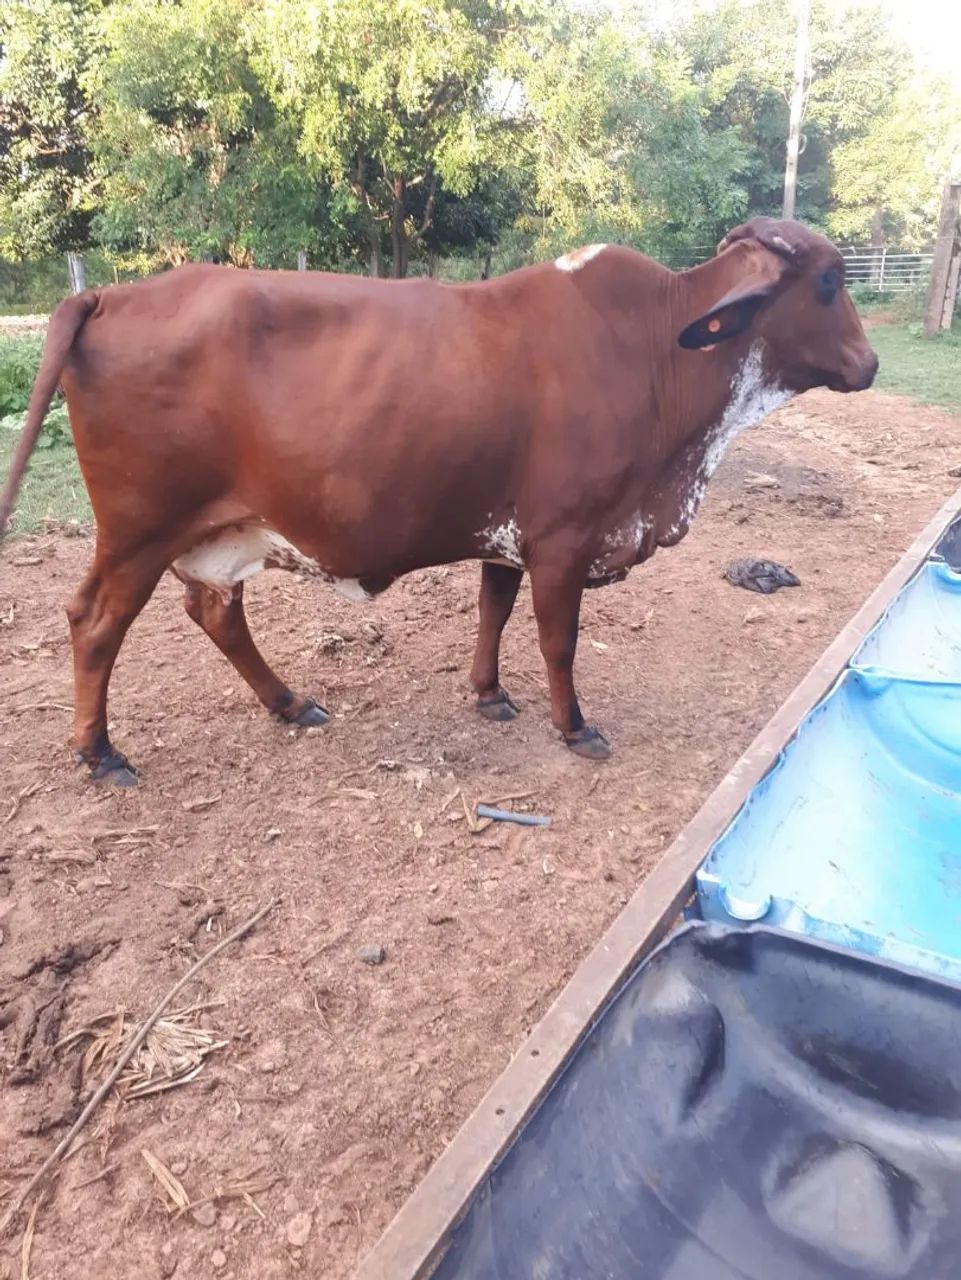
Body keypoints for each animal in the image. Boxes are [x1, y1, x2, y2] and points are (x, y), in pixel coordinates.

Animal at [0, 217, 877, 785]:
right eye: (828, 282)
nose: (867, 364)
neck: (658, 350)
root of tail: (111, 296)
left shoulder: (512, 536)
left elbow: (492, 610)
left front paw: (488, 694)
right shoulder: (564, 538)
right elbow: (556, 641)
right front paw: (573, 726)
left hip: (217, 530)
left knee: (215, 614)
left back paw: (289, 702)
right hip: (138, 531)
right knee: (96, 625)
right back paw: (100, 753)